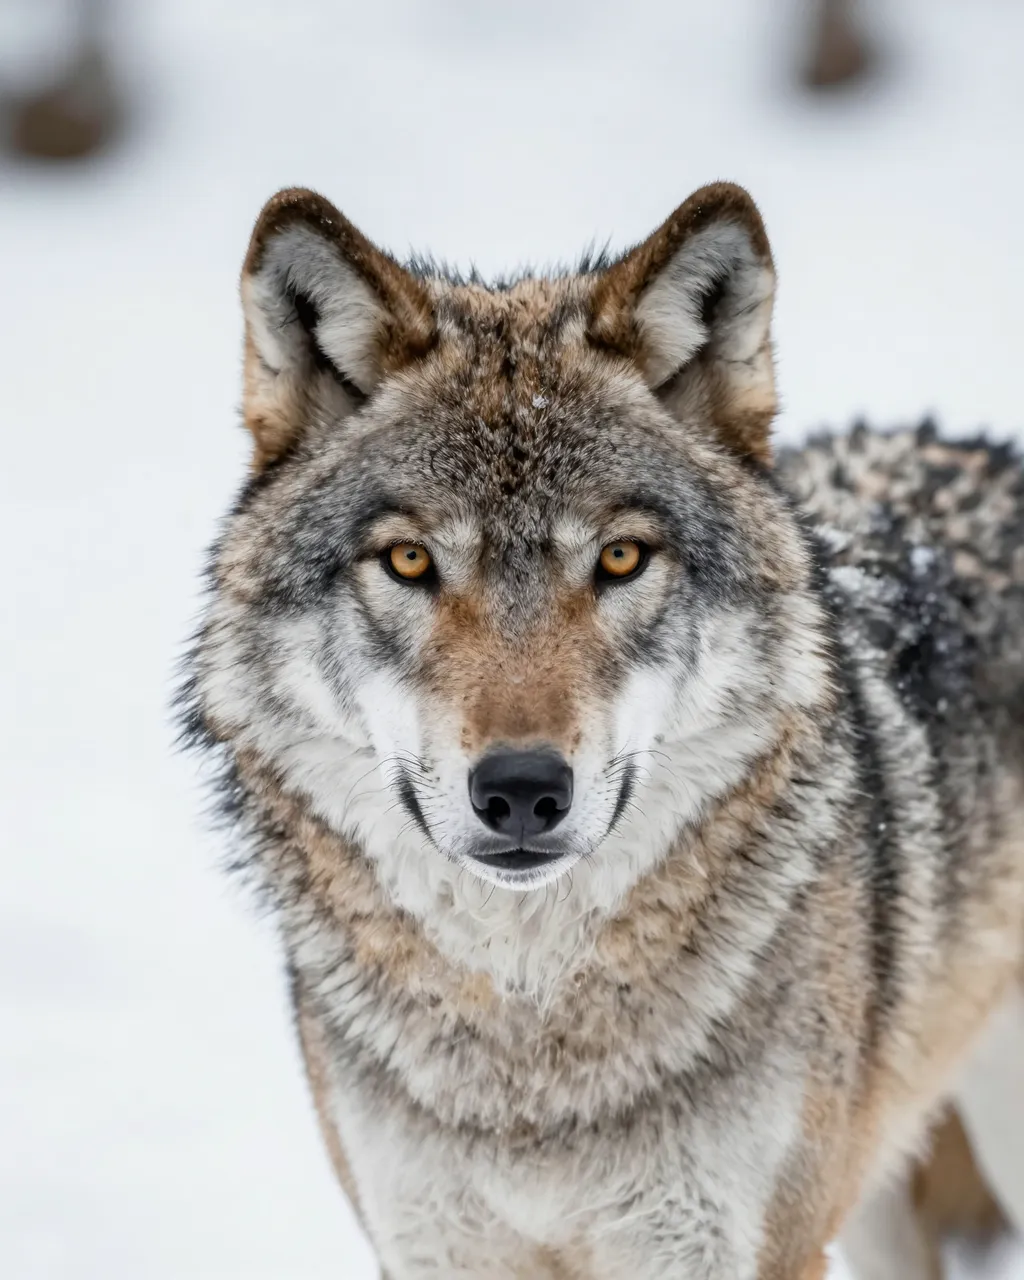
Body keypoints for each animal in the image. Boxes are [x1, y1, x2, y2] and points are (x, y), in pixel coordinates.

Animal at [181, 182, 1024, 1278]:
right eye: (409, 561)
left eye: (621, 557)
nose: (521, 789)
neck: (531, 1048)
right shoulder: (429, 1247)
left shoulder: (724, 1247)